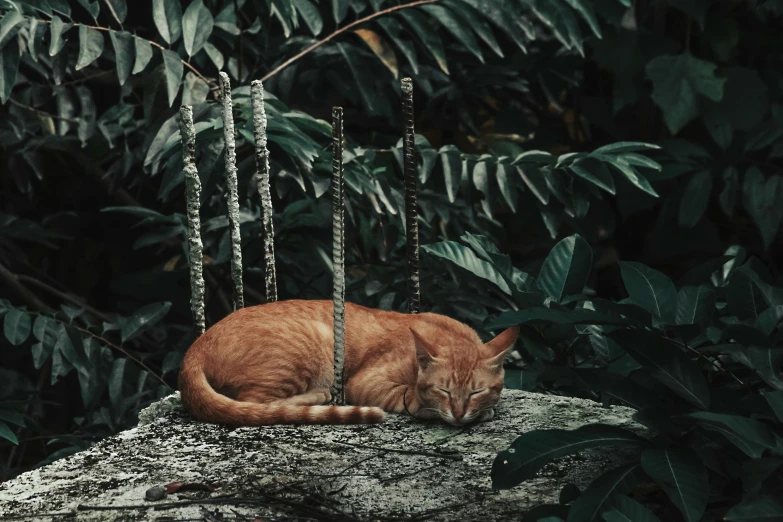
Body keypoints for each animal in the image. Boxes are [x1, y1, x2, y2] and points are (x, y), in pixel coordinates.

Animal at [178, 298, 520, 424]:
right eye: (444, 391)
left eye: (476, 391)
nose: (460, 414)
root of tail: (195, 347)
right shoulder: (368, 384)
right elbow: (413, 400)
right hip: (313, 345)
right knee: (257, 404)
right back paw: (321, 396)